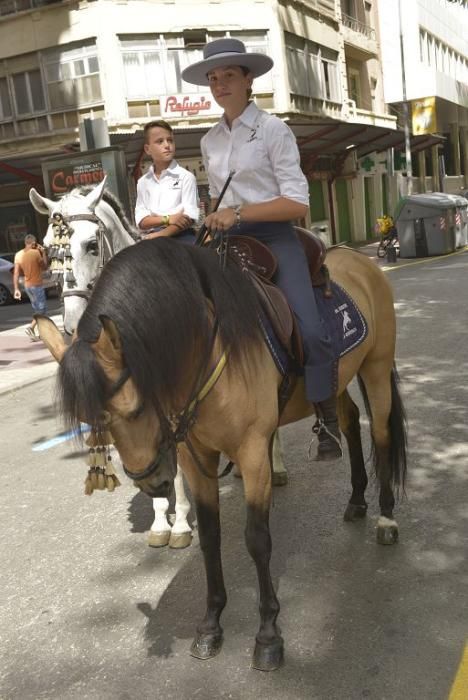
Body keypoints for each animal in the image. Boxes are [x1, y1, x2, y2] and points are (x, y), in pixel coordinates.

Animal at [29, 178, 288, 548]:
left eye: (92, 245)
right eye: (50, 249)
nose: (72, 323)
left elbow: (176, 466)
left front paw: (178, 522)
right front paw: (159, 519)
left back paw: (277, 466)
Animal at [37, 237, 406, 672]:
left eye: (136, 407)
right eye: (89, 419)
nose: (153, 481)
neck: (205, 348)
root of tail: (356, 257)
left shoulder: (252, 452)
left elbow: (257, 540)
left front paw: (268, 635)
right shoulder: (197, 456)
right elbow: (210, 538)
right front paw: (211, 625)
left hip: (376, 368)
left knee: (381, 435)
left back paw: (385, 518)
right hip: (340, 379)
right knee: (348, 422)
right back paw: (356, 499)